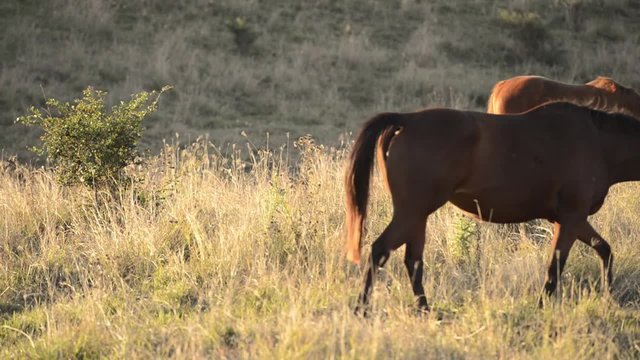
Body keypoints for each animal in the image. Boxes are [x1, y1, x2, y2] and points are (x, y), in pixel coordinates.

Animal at [342, 100, 640, 312]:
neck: (597, 142)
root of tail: (408, 120)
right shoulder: (572, 218)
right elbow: (559, 266)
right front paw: (542, 307)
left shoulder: (567, 221)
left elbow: (602, 252)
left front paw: (608, 297)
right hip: (411, 213)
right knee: (380, 251)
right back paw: (362, 309)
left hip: (417, 216)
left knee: (412, 261)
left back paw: (425, 310)